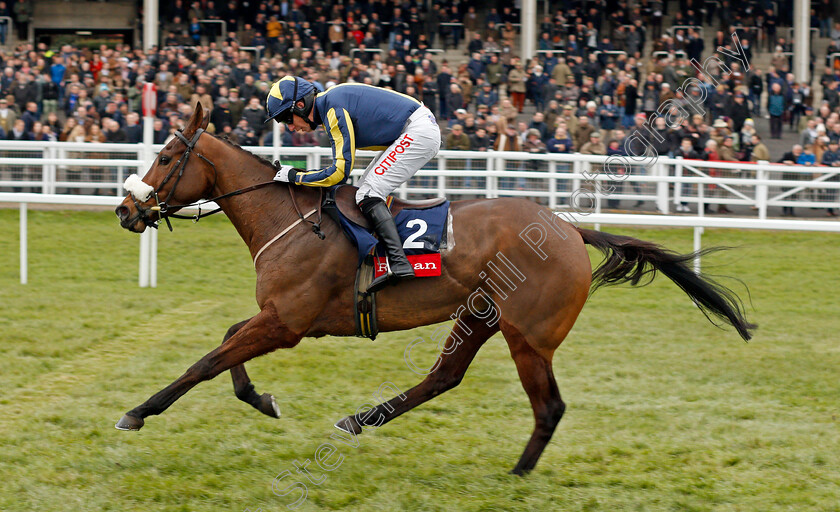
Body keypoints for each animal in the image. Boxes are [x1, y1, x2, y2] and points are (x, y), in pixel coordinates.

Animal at [110, 104, 756, 476]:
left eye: (166, 156)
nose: (125, 210)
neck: (288, 218)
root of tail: (571, 230)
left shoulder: (287, 322)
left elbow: (206, 360)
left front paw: (138, 412)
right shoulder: (277, 316)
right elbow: (226, 344)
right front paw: (260, 398)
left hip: (527, 335)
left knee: (547, 406)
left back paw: (517, 474)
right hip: (479, 316)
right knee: (444, 376)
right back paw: (361, 419)